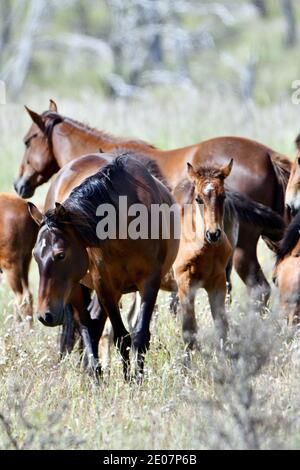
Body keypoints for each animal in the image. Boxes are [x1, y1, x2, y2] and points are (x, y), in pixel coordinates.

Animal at [28, 154, 179, 378]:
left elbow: (140, 335)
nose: (44, 315)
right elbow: (121, 337)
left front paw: (136, 378)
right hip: (77, 288)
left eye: (60, 254)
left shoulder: (150, 282)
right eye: (35, 255)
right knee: (86, 326)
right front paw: (127, 379)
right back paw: (95, 374)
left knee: (95, 325)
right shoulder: (104, 286)